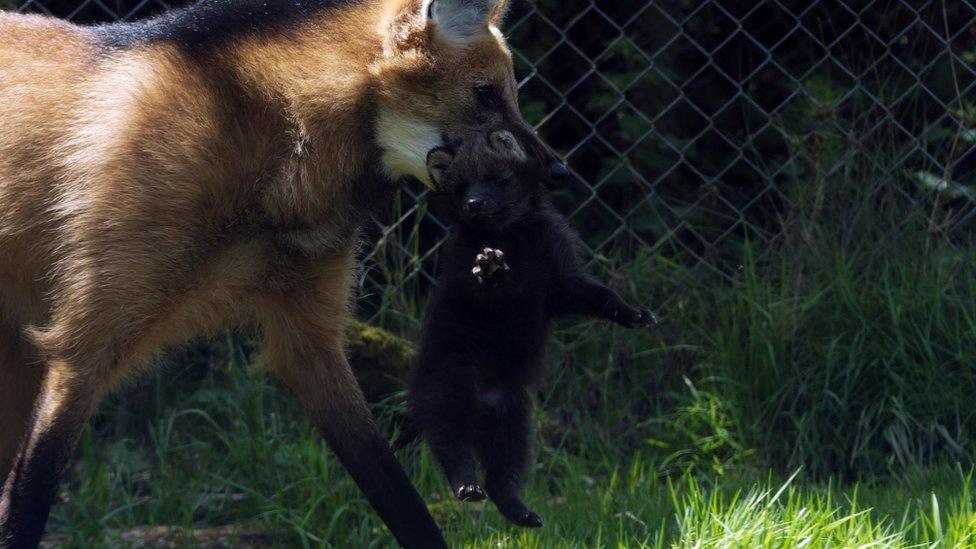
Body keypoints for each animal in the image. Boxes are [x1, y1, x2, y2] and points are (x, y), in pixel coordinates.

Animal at [0, 0, 560, 544]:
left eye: (509, 95)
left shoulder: (310, 338)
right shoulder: (83, 349)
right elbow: (28, 502)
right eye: (486, 93)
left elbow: (397, 494)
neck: (280, 145)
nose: (554, 170)